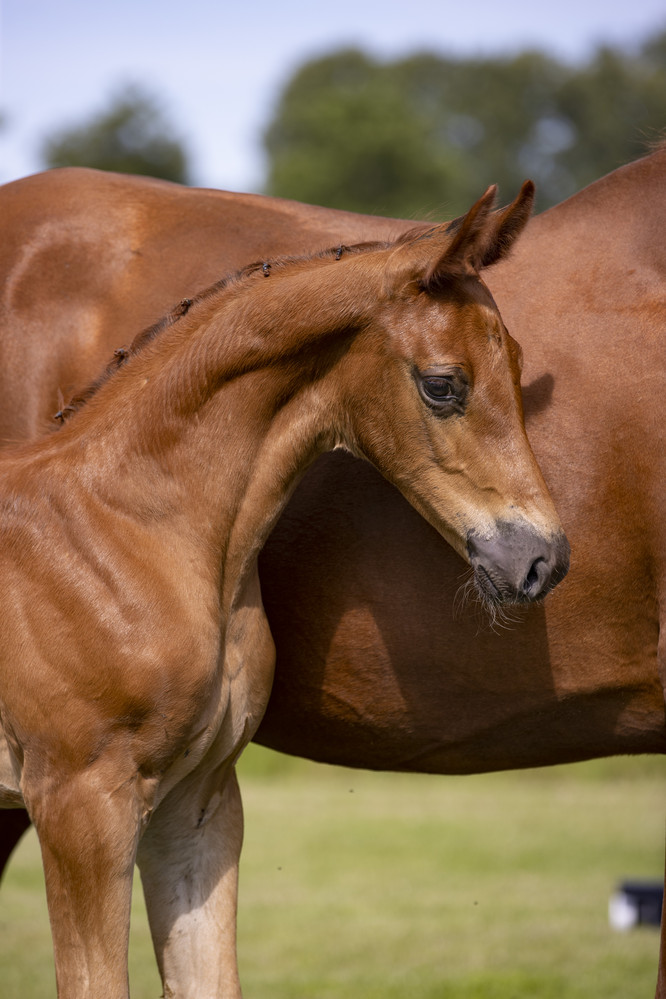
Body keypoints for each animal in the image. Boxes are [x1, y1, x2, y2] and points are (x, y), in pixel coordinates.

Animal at [0, 148, 660, 992]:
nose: (542, 558)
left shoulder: (196, 804)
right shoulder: (80, 802)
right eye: (442, 383)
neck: (126, 522)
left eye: (517, 366)